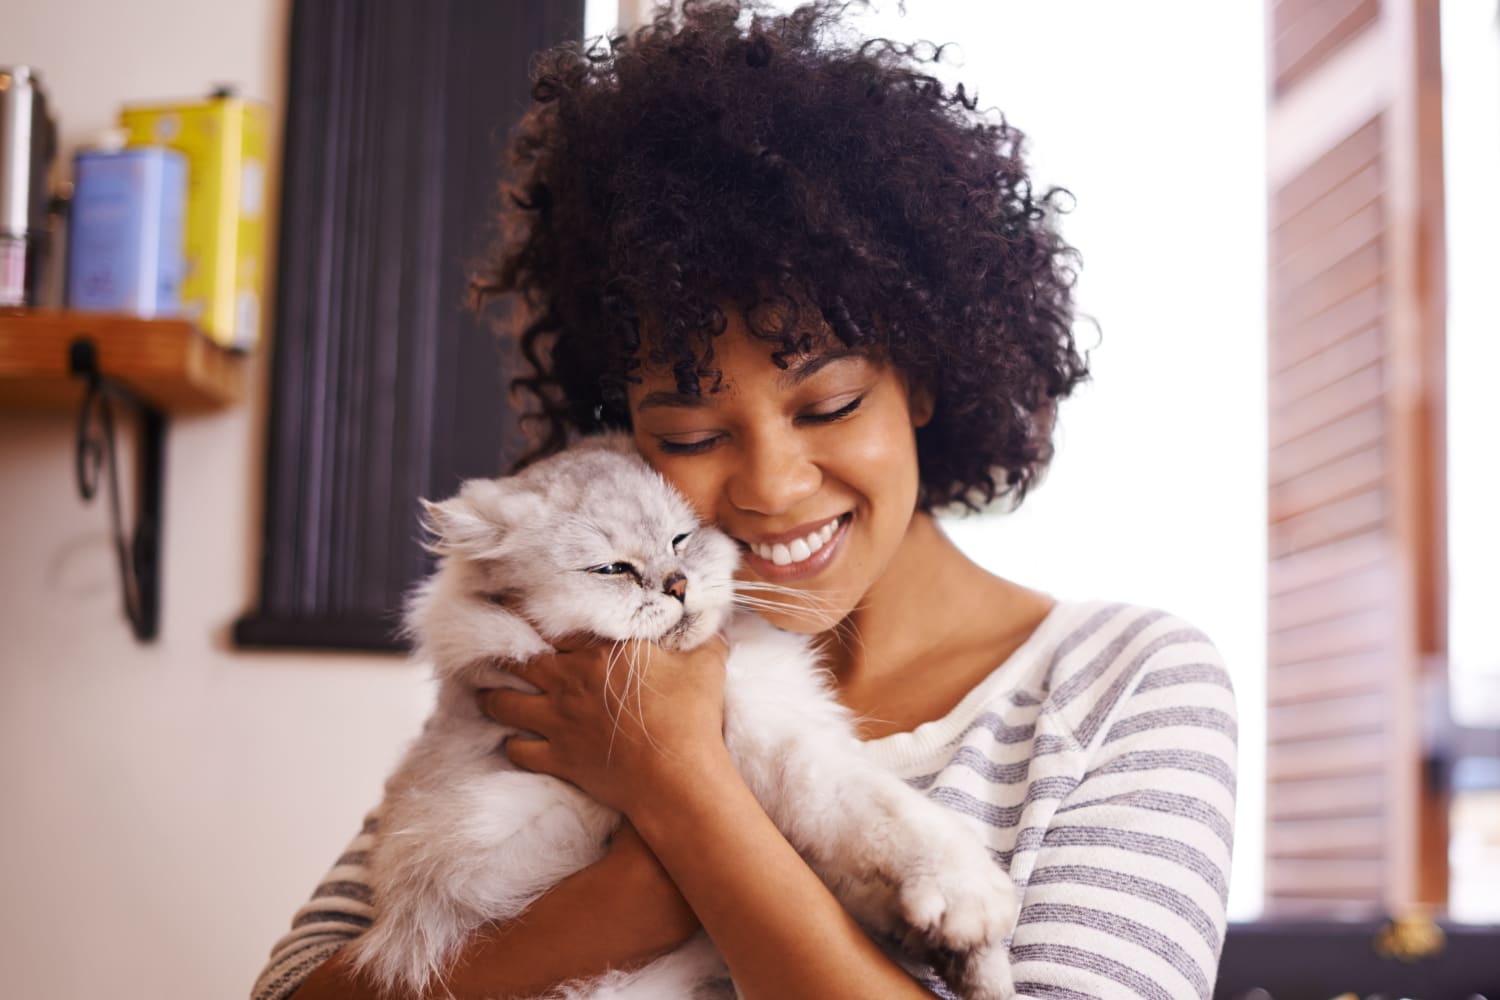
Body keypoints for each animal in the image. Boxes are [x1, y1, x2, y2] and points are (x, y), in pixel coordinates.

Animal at [345, 434, 1014, 1000]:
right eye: (611, 569)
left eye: (681, 540)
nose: (677, 585)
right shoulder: (771, 746)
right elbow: (882, 816)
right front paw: (966, 905)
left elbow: (865, 866)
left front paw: (966, 959)